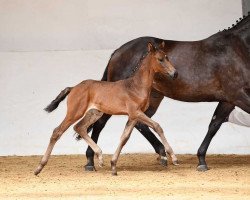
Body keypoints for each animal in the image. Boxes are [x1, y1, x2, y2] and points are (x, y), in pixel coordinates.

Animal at [35, 41, 179, 175]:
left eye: (167, 57)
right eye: (160, 59)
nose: (175, 73)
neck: (135, 86)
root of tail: (73, 87)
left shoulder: (133, 116)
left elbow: (124, 138)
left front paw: (113, 165)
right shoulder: (136, 112)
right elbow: (157, 126)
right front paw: (173, 158)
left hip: (94, 113)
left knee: (79, 127)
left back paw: (100, 157)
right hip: (75, 112)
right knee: (57, 131)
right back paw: (39, 167)